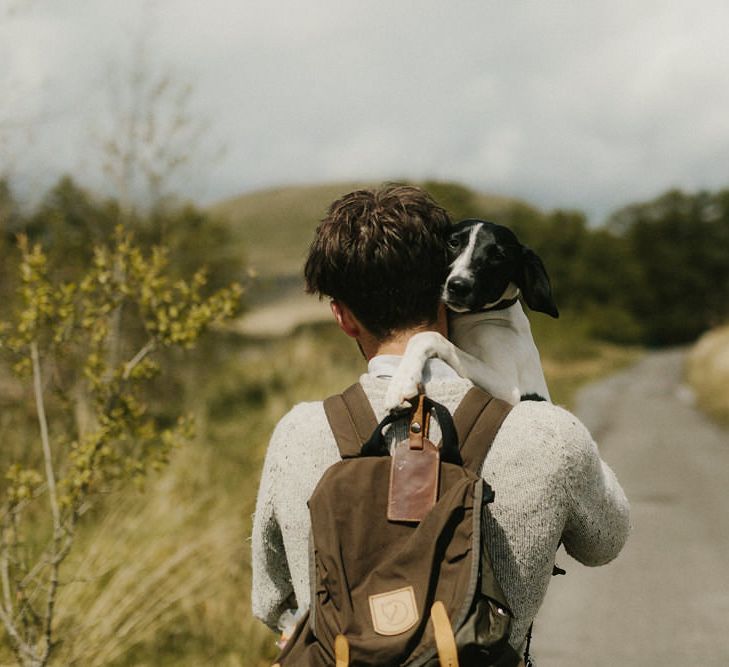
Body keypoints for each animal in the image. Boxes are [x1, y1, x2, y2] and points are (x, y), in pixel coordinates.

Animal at [384, 218, 560, 412]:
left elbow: (428, 337)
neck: (477, 317)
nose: (458, 286)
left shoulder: (509, 389)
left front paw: (401, 382)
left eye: (498, 256)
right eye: (453, 243)